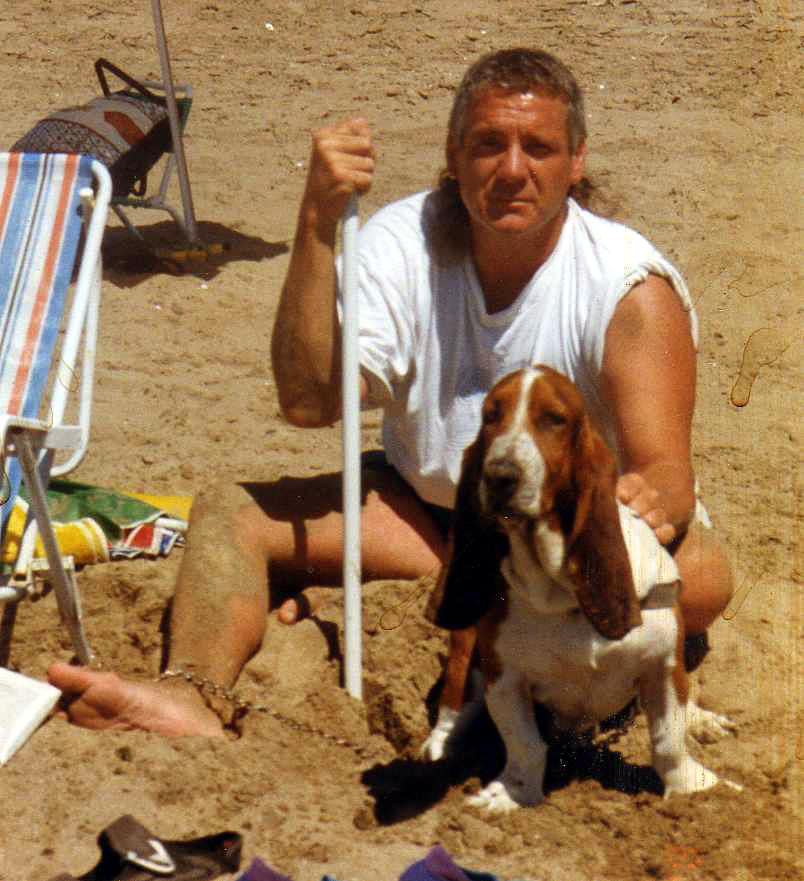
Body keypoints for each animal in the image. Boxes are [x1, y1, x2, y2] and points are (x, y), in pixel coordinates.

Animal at [423, 365, 729, 810]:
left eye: (554, 419)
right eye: (490, 416)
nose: (499, 476)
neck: (563, 596)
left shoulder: (663, 666)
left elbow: (667, 741)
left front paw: (696, 791)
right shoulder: (506, 679)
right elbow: (526, 746)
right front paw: (511, 795)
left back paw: (702, 720)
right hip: (466, 641)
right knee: (456, 698)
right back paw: (441, 747)